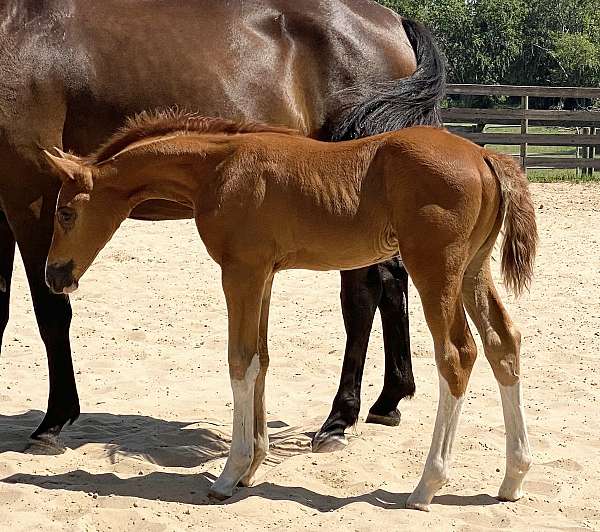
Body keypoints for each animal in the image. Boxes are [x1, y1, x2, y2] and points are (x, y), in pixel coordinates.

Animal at [44, 110, 536, 510]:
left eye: (66, 212)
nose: (54, 276)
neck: (219, 169)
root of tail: (484, 155)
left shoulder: (239, 272)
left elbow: (239, 361)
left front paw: (229, 474)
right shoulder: (264, 275)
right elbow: (261, 360)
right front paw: (252, 467)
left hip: (436, 268)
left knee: (457, 354)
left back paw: (426, 486)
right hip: (473, 269)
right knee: (503, 343)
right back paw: (513, 478)